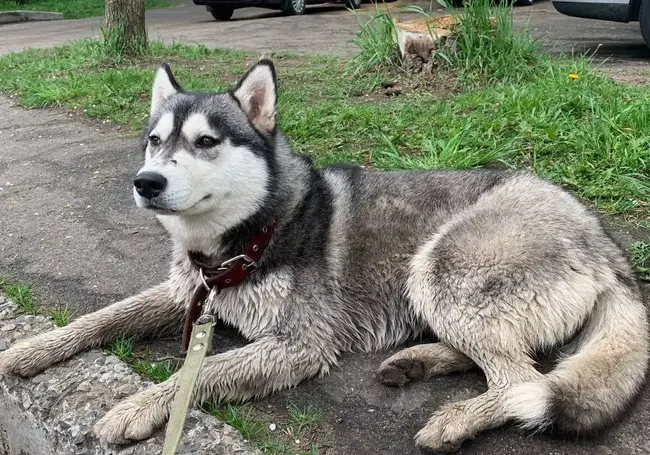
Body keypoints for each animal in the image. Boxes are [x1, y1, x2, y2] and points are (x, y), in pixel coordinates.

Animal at [1, 59, 648, 452]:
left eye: (207, 142)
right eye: (155, 141)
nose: (146, 182)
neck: (248, 237)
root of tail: (602, 237)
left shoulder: (296, 345)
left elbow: (194, 372)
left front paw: (135, 405)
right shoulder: (188, 293)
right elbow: (100, 318)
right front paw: (31, 349)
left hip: (440, 268)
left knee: (522, 379)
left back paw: (455, 418)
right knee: (511, 361)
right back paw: (417, 361)